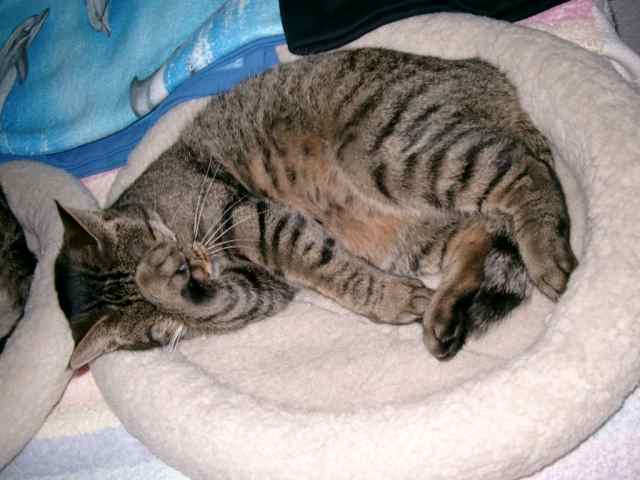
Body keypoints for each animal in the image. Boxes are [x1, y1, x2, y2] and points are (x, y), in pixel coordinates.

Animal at [52, 48, 577, 369]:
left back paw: (546, 254)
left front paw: (153, 274)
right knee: (480, 235)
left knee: (524, 169)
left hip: (387, 151)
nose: (193, 268)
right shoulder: (258, 292)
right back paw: (444, 313)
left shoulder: (252, 217)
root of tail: (492, 78)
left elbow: (330, 269)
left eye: (164, 245)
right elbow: (219, 305)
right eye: (156, 326)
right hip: (420, 232)